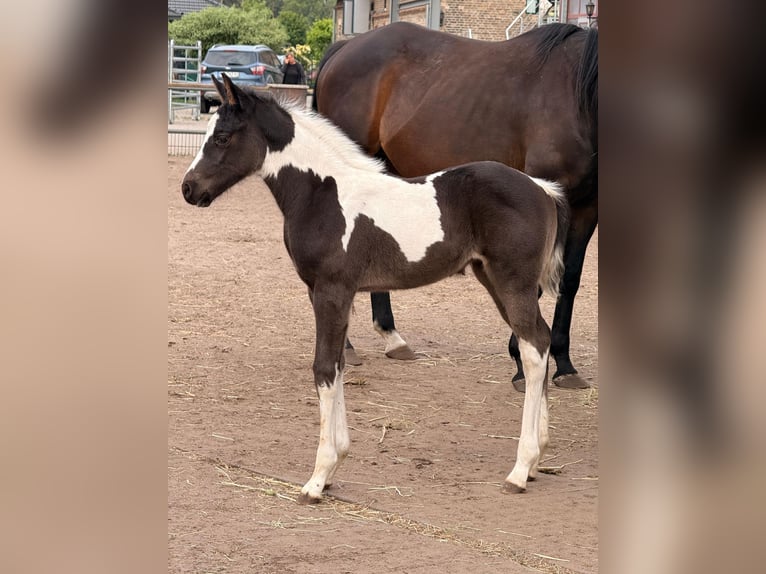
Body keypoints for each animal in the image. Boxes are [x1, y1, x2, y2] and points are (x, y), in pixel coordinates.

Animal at [181, 74, 570, 502]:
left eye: (222, 138)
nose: (188, 189)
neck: (322, 192)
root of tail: (542, 189)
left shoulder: (331, 290)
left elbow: (323, 368)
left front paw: (317, 477)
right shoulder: (331, 292)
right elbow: (336, 364)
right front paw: (336, 463)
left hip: (512, 281)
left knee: (533, 351)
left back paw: (520, 468)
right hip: (495, 280)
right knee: (540, 338)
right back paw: (536, 460)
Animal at [313, 21, 598, 391]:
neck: (577, 97)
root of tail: (345, 48)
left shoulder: (587, 209)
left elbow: (569, 280)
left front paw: (564, 365)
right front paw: (522, 363)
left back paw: (392, 336)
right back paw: (347, 345)